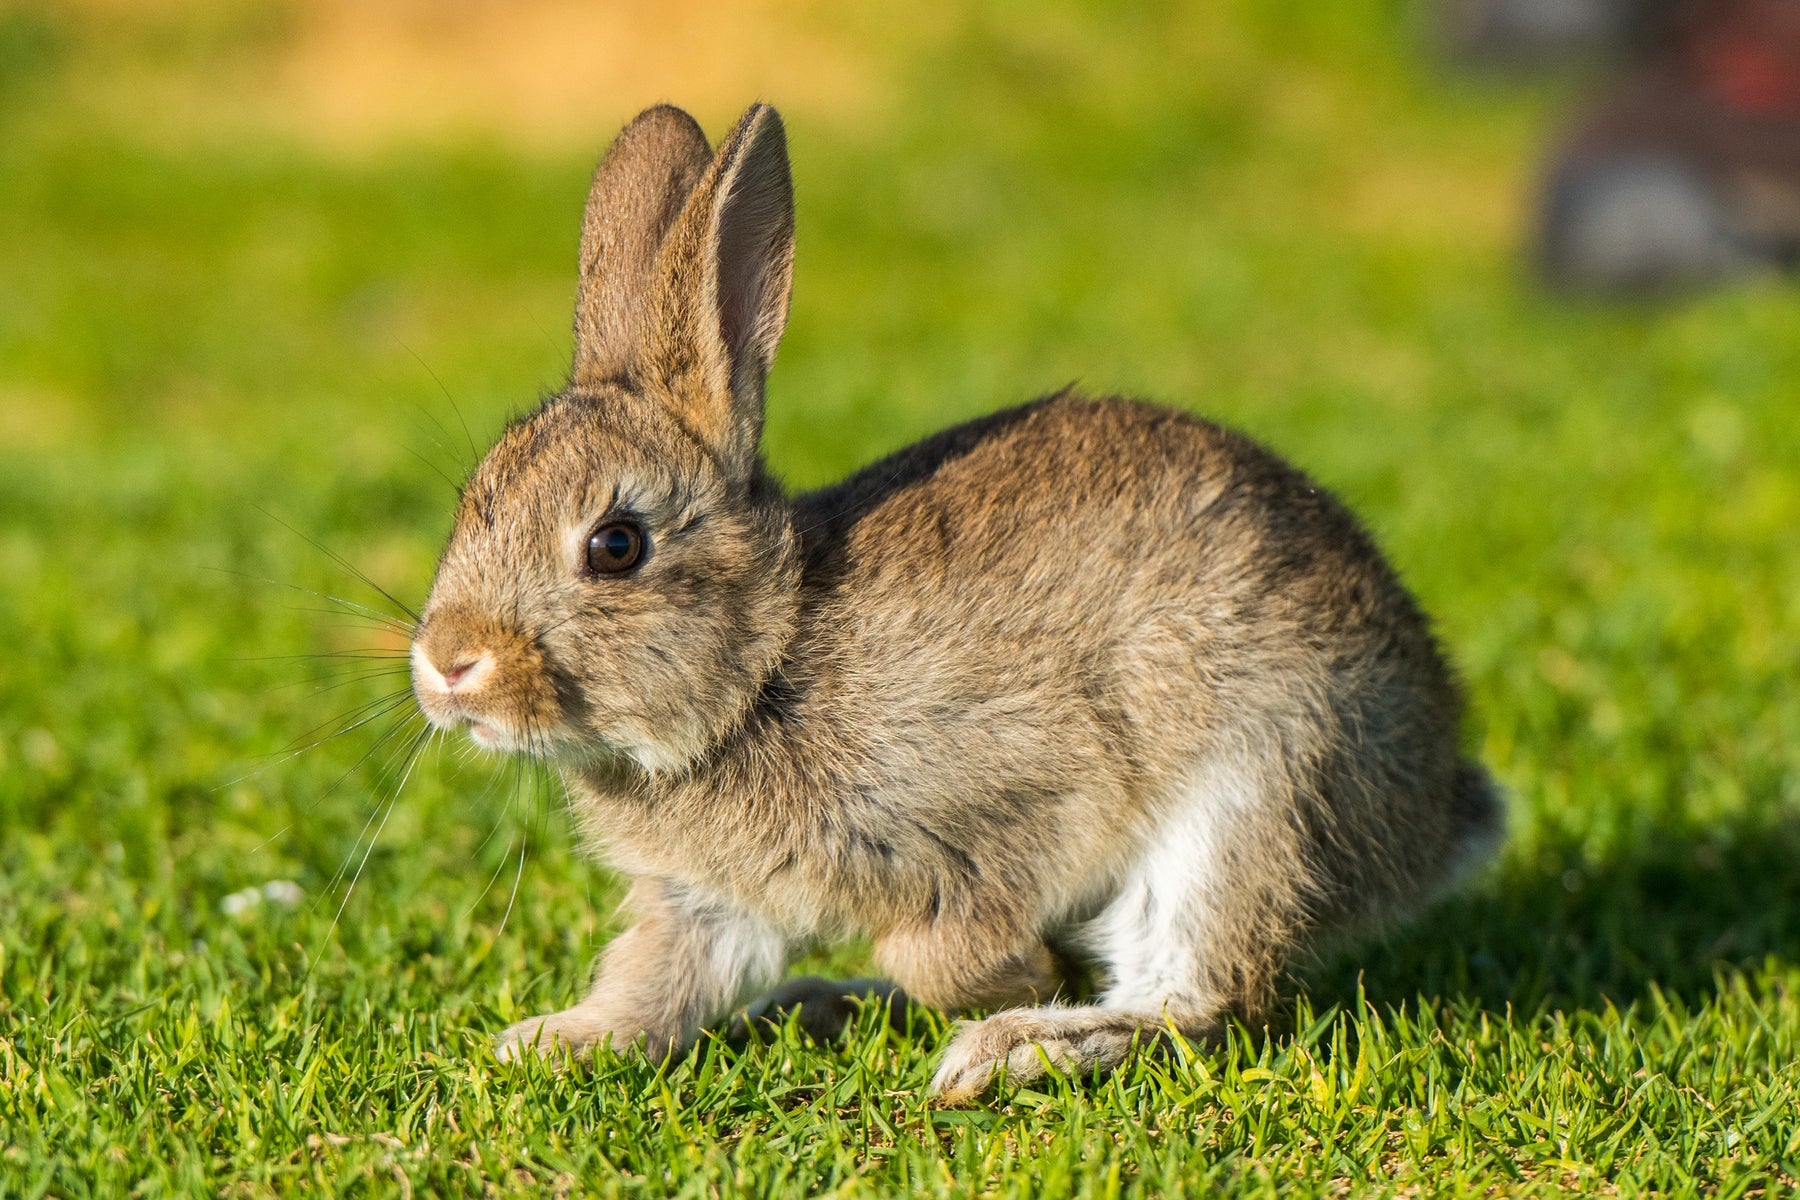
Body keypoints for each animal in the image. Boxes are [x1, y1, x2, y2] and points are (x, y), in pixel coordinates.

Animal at [408, 101, 1503, 1103]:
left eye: (616, 545)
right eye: (473, 501)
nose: (447, 664)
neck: (763, 669)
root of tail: (1437, 816)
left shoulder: (1033, 796)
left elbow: (944, 951)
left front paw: (1023, 981)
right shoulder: (706, 903)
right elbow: (656, 985)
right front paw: (549, 1043)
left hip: (1254, 799)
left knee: (1196, 998)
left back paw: (1014, 1046)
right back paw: (823, 1002)